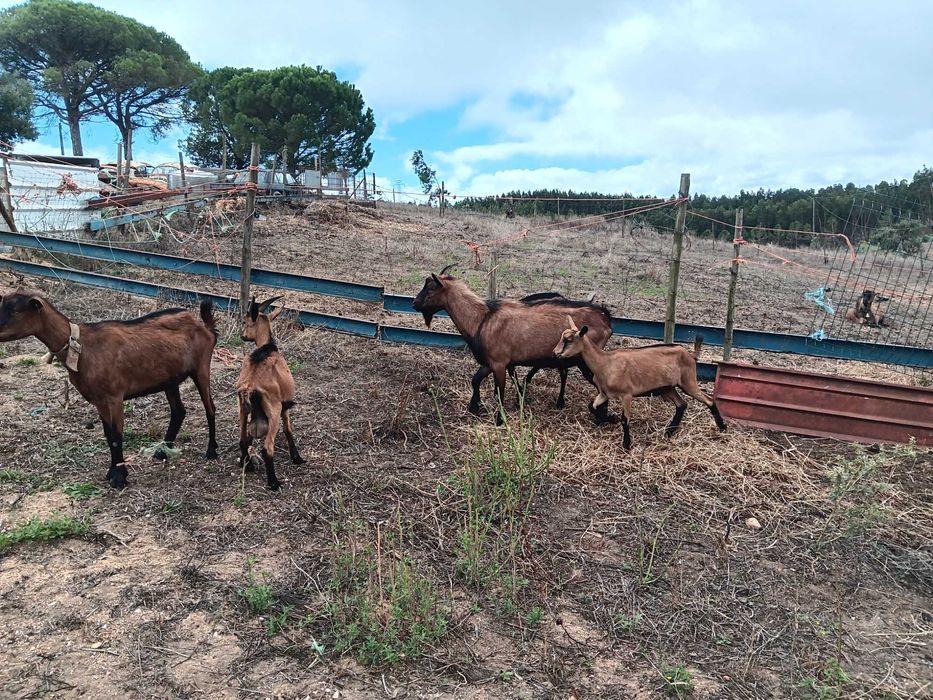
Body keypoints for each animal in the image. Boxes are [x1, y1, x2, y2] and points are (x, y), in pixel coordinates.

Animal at [0, 289, 218, 488]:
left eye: (13, 310)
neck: (81, 347)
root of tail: (204, 326)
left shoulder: (115, 397)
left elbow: (116, 436)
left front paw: (120, 478)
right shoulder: (99, 400)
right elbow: (107, 435)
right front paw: (112, 472)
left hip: (201, 368)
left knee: (210, 408)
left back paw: (211, 451)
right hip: (169, 380)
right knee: (178, 411)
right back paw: (161, 452)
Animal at [236, 295, 304, 490]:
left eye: (244, 321)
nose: (242, 335)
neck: (267, 348)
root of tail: (249, 386)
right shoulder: (284, 404)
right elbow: (288, 429)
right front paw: (297, 457)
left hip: (242, 409)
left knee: (243, 439)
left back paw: (249, 466)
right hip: (273, 410)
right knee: (267, 447)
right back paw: (274, 482)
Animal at [412, 266, 613, 423]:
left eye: (430, 288)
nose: (414, 304)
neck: (481, 320)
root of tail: (605, 319)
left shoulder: (499, 364)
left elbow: (500, 393)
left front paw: (499, 420)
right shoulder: (491, 363)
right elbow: (475, 380)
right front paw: (474, 406)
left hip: (586, 361)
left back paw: (601, 417)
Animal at [554, 317, 726, 449]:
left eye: (569, 340)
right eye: (562, 337)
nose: (555, 353)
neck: (605, 363)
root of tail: (690, 355)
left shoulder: (626, 395)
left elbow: (625, 419)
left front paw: (626, 444)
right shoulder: (604, 393)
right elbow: (592, 406)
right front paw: (611, 419)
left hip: (688, 381)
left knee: (709, 400)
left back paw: (722, 427)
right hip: (668, 388)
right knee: (682, 404)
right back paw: (669, 431)